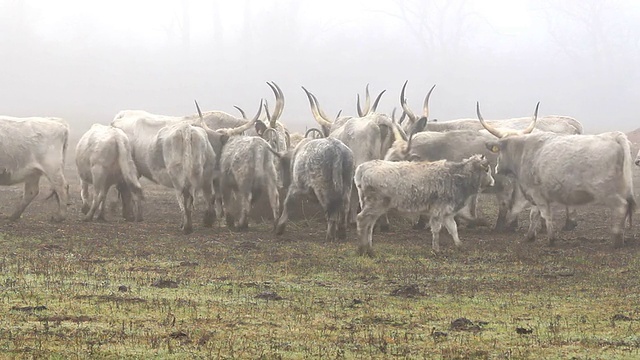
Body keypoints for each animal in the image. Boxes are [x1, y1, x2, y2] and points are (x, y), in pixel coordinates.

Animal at [356, 153, 496, 255]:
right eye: (487, 169)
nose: (493, 182)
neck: (455, 177)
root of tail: (363, 167)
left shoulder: (447, 213)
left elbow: (453, 229)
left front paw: (460, 246)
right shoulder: (438, 211)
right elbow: (436, 230)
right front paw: (436, 249)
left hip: (372, 206)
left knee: (369, 225)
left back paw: (369, 249)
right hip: (375, 204)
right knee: (362, 220)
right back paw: (362, 249)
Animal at [480, 102, 636, 246]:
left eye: (499, 150)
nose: (496, 168)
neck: (524, 150)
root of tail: (614, 136)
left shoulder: (537, 194)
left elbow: (546, 215)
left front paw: (551, 239)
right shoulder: (536, 195)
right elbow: (534, 215)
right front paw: (530, 236)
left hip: (607, 191)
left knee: (621, 207)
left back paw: (616, 241)